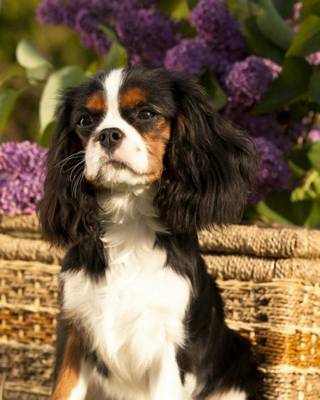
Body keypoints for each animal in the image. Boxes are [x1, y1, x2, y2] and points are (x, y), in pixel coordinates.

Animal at [39, 67, 260, 398]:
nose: (108, 134)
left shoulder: (170, 346)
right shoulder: (74, 330)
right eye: (85, 121)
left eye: (146, 114)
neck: (128, 220)